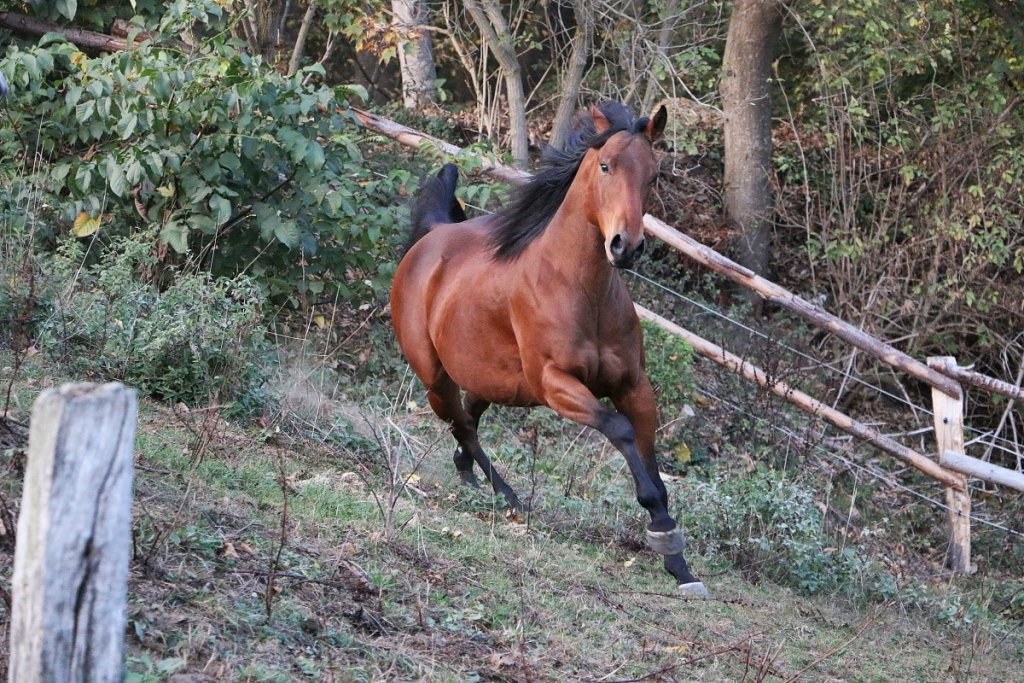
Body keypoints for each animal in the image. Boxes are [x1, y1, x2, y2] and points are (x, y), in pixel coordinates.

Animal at [390, 101, 708, 595]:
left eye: (653, 175)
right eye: (605, 165)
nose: (626, 247)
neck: (581, 290)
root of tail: (429, 240)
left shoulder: (634, 386)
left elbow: (648, 453)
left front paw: (678, 561)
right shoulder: (556, 384)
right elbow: (620, 431)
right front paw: (662, 532)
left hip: (493, 379)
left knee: (469, 419)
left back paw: (471, 478)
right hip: (434, 379)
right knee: (462, 426)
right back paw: (509, 498)